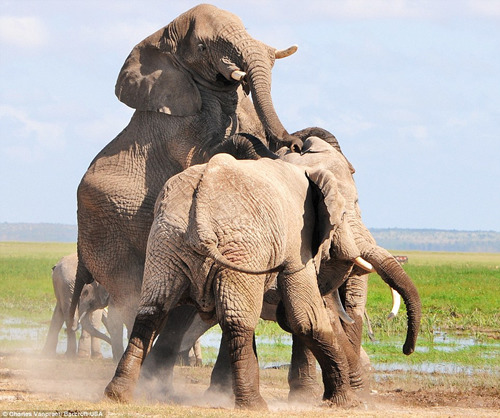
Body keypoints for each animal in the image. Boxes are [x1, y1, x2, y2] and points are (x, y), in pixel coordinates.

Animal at [70, 3, 300, 360]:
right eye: (202, 48)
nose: (295, 141)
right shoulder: (178, 130)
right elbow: (210, 156)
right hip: (104, 232)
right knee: (130, 296)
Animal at [103, 152, 394, 410]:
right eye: (343, 215)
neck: (306, 169)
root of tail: (201, 202)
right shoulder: (296, 241)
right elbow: (306, 319)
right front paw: (347, 403)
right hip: (241, 247)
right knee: (238, 322)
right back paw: (254, 405)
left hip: (166, 240)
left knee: (152, 311)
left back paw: (118, 395)